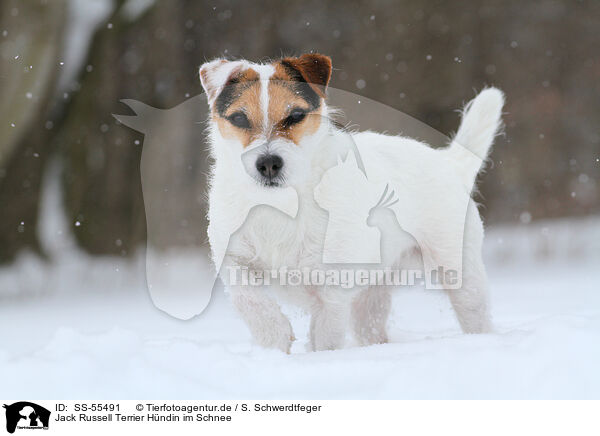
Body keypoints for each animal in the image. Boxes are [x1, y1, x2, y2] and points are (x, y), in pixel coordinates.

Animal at [199, 54, 504, 352]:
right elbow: (249, 301)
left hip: (460, 275)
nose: (269, 164)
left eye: (295, 115)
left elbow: (326, 335)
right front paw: (274, 341)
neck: (281, 203)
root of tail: (448, 162)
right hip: (372, 295)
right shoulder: (235, 260)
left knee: (475, 312)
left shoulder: (332, 288)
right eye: (239, 118)